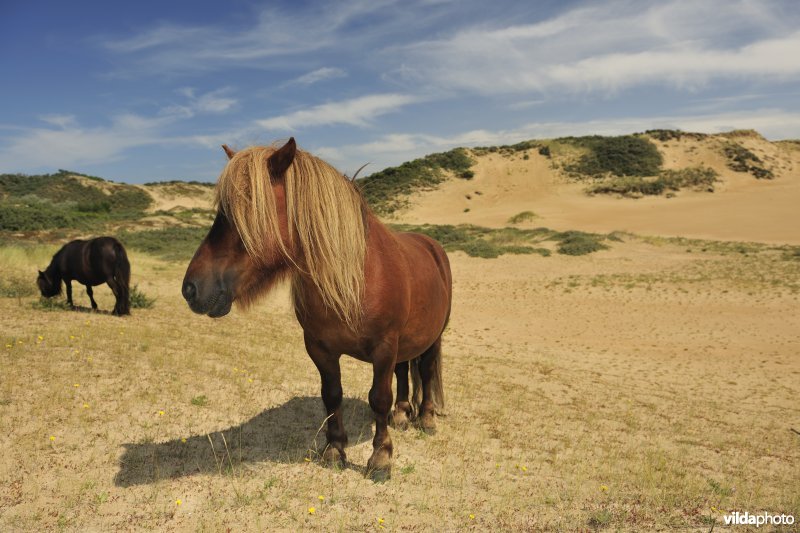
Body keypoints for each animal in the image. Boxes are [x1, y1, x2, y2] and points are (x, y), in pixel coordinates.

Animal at [182, 138, 452, 480]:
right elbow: (332, 394)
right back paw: (403, 415)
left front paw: (380, 458)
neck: (356, 276)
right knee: (404, 372)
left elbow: (378, 398)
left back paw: (427, 419)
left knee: (427, 373)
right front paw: (335, 449)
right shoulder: (320, 348)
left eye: (245, 211)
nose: (190, 288)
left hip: (433, 338)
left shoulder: (384, 348)